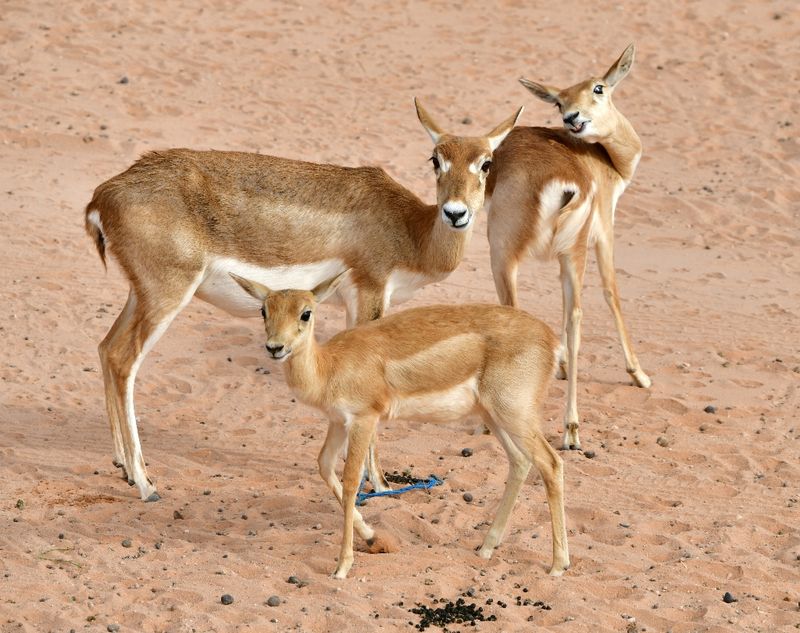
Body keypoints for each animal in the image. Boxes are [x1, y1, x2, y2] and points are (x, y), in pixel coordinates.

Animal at [84, 100, 523, 501]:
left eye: (485, 163)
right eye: (436, 159)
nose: (456, 213)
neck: (409, 229)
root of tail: (104, 194)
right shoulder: (371, 292)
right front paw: (380, 484)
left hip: (139, 294)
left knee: (106, 348)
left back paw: (123, 467)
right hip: (167, 294)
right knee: (123, 360)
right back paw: (145, 483)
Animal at [231, 271, 569, 579]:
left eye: (306, 312)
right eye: (264, 310)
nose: (275, 347)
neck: (330, 366)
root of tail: (552, 340)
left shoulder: (364, 420)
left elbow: (352, 481)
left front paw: (343, 566)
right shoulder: (338, 422)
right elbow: (325, 466)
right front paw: (372, 538)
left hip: (513, 414)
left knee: (550, 463)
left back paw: (557, 565)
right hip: (494, 416)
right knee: (521, 462)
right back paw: (486, 548)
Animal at [486, 44, 651, 451]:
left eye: (598, 88)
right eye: (559, 101)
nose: (572, 118)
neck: (608, 162)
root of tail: (561, 181)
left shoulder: (564, 257)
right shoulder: (605, 232)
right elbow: (611, 292)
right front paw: (639, 374)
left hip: (553, 255)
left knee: (570, 315)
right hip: (511, 254)